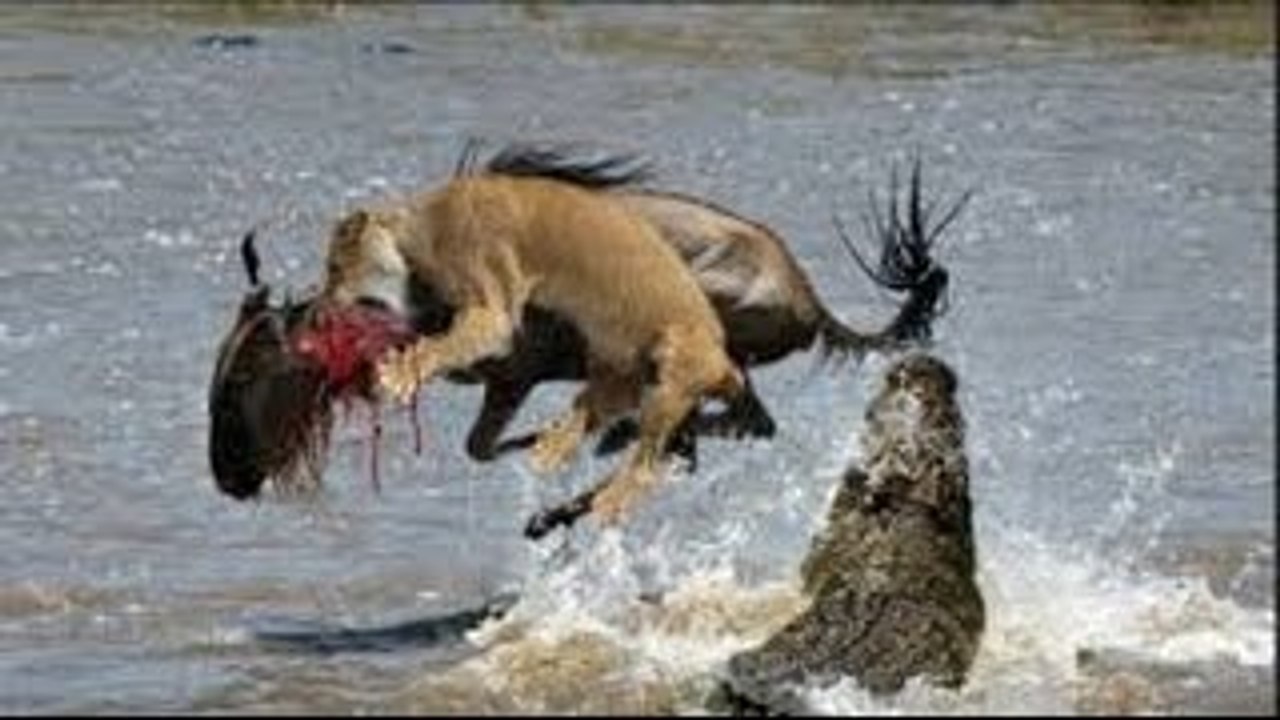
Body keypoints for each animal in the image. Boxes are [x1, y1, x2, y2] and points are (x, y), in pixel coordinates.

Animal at [316, 171, 745, 526]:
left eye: (334, 268)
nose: (321, 305)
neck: (420, 227)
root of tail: (725, 363)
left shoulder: (488, 298)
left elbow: (444, 345)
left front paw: (400, 373)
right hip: (617, 369)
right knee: (593, 417)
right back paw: (552, 446)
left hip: (672, 367)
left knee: (645, 466)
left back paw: (607, 500)